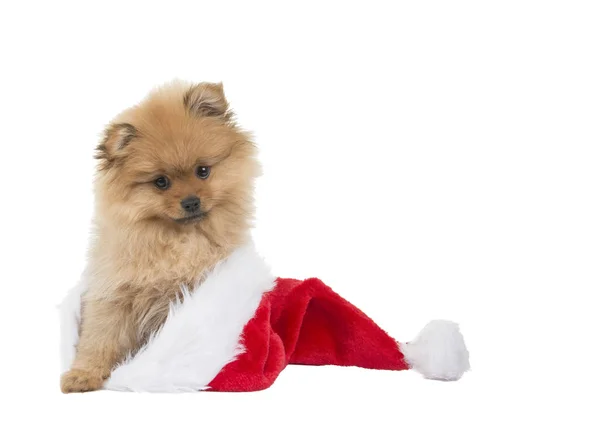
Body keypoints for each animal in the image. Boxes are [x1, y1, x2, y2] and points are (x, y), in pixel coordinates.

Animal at [61, 82, 260, 394]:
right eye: (161, 182)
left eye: (203, 171)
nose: (191, 201)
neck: (175, 241)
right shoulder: (113, 295)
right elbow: (98, 338)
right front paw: (83, 374)